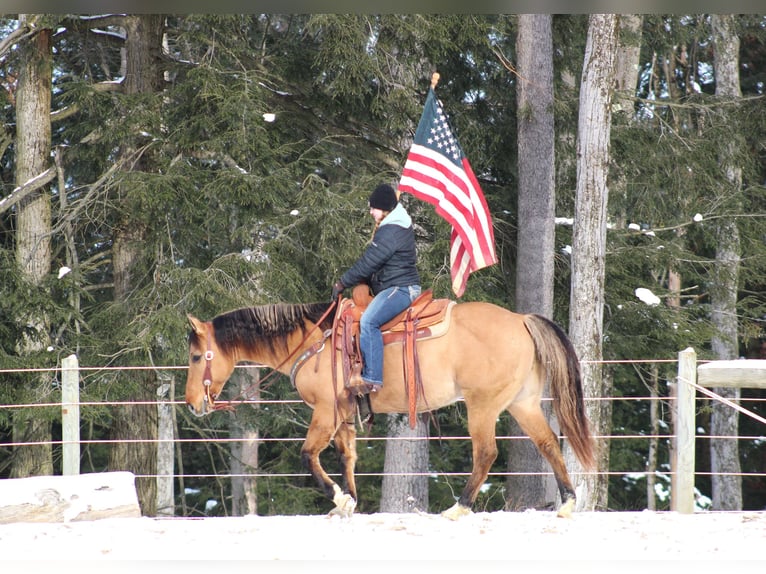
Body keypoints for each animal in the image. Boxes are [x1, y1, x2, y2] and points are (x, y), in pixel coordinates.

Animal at [184, 296, 592, 520]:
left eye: (195, 356)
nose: (192, 404)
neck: (313, 341)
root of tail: (521, 320)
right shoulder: (343, 416)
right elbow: (347, 457)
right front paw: (347, 501)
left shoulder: (325, 412)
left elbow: (308, 455)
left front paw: (338, 497)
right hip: (523, 403)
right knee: (549, 444)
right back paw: (567, 503)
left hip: (483, 405)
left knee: (486, 453)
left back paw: (458, 507)